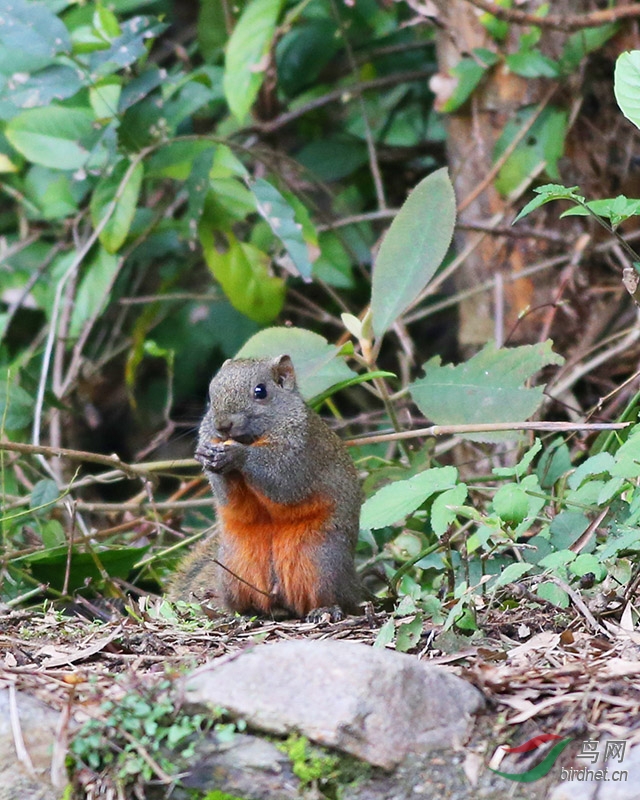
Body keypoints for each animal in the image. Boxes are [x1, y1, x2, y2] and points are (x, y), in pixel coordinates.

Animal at [168, 354, 362, 620]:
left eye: (260, 391)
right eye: (210, 395)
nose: (223, 425)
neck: (252, 439)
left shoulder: (302, 451)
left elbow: (283, 481)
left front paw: (238, 455)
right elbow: (227, 495)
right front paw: (208, 455)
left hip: (322, 563)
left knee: (333, 596)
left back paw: (326, 609)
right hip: (233, 569)